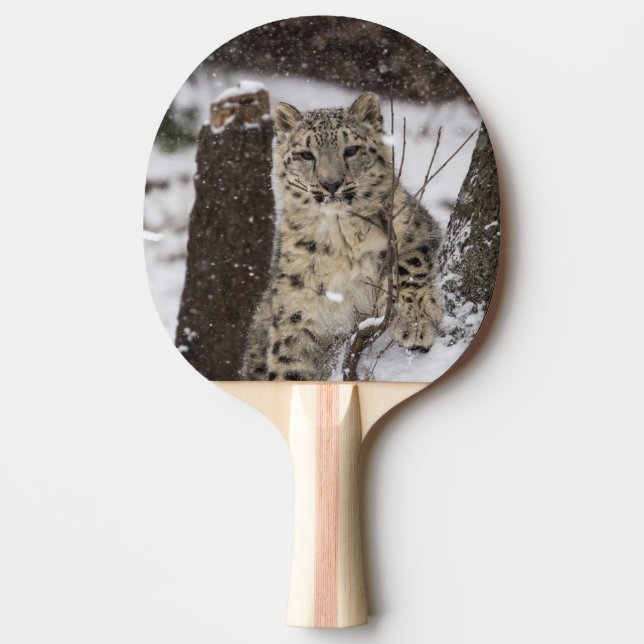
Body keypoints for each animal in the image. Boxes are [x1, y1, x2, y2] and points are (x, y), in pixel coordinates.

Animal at [241, 92, 443, 381]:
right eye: (306, 154)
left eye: (351, 150)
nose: (331, 183)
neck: (341, 240)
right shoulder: (296, 309)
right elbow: (288, 365)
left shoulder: (416, 227)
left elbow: (409, 265)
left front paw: (414, 325)